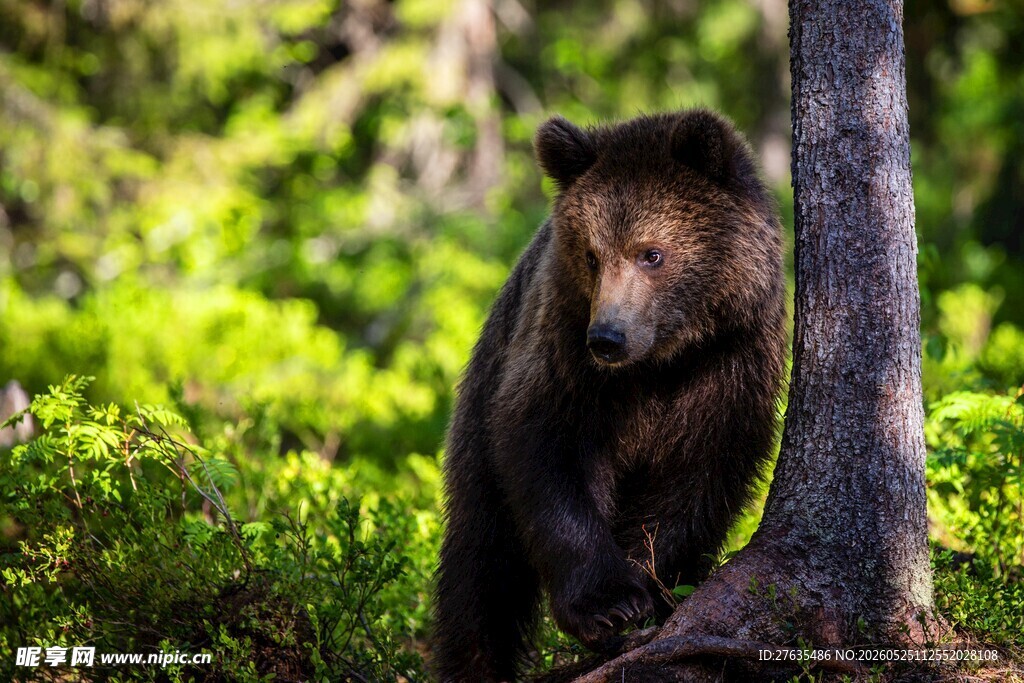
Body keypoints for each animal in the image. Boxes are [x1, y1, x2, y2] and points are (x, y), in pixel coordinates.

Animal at [432, 109, 786, 682]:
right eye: (592, 255)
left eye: (652, 254)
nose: (608, 337)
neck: (662, 361)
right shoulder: (564, 357)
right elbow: (549, 454)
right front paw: (607, 604)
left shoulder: (730, 366)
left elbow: (697, 482)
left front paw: (653, 586)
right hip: (478, 412)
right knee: (481, 564)